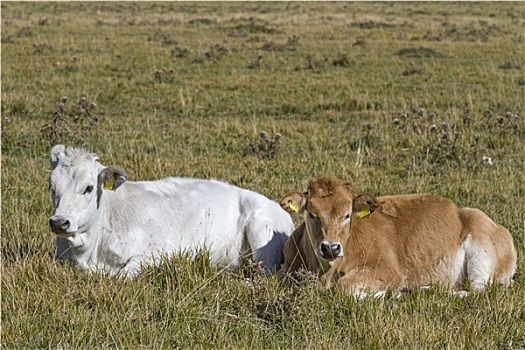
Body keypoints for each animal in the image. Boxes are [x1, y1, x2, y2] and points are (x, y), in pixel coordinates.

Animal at [48, 144, 294, 276]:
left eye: (88, 188)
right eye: (52, 187)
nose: (59, 222)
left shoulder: (154, 255)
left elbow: (122, 276)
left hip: (260, 231)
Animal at [278, 176, 516, 296]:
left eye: (347, 214)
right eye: (312, 214)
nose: (330, 247)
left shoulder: (388, 271)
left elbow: (345, 286)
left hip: (481, 253)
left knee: (477, 292)